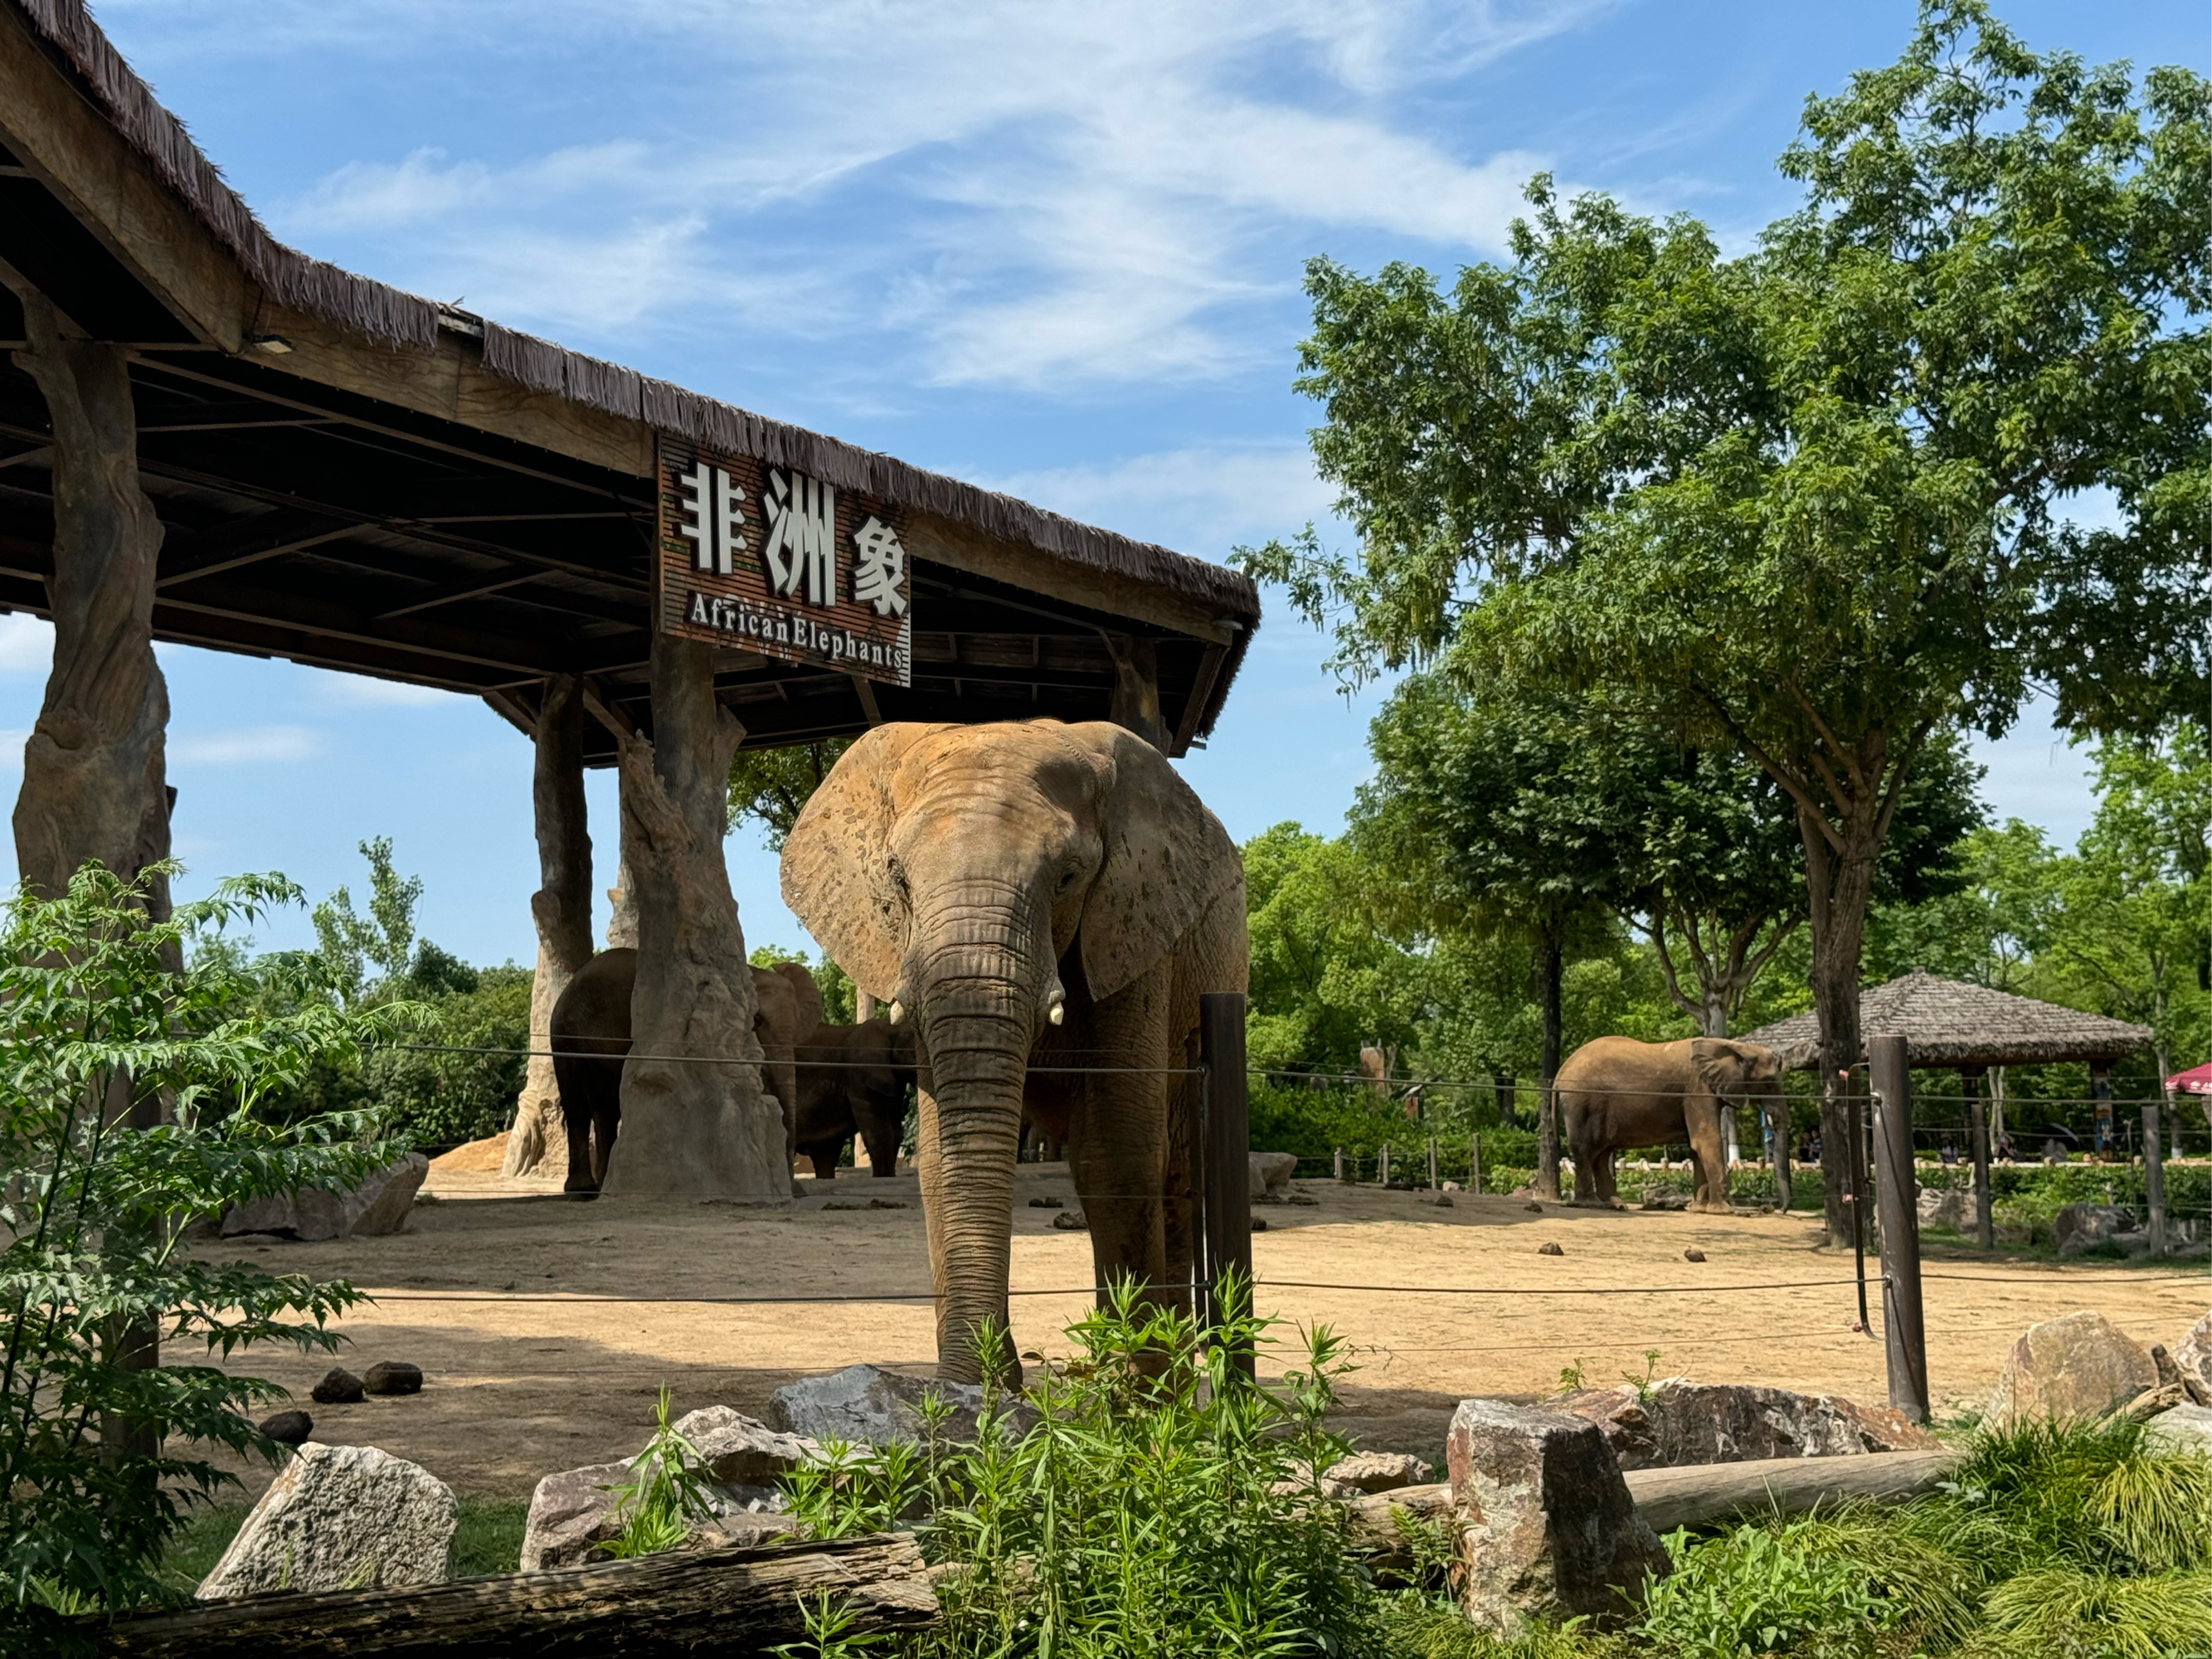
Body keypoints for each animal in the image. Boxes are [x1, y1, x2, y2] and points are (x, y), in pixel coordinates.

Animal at [548, 946, 827, 1194]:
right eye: (757, 1022)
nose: (797, 1191)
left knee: (606, 1109)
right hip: (564, 1035)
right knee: (578, 1105)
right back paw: (582, 1190)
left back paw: (603, 1186)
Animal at [796, 1013, 916, 1185]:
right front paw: (884, 1179)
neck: (892, 1030)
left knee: (825, 1157)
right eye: (915, 1054)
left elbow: (896, 1131)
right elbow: (879, 1131)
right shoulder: (858, 1074)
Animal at [1557, 1035, 1778, 1212]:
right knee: (1587, 1151)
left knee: (1601, 1154)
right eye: (1769, 1083)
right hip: (1582, 1102)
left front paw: (1698, 1209)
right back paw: (1590, 1204)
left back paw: (1615, 1205)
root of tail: (1561, 1071)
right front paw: (1723, 1211)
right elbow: (1706, 1140)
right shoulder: (1697, 1089)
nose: (1770, 1208)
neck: (1733, 1046)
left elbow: (1696, 1145)